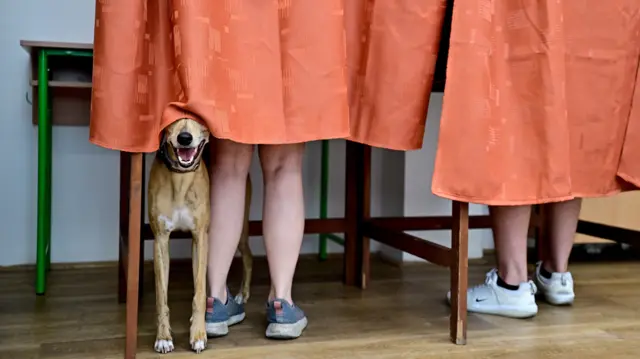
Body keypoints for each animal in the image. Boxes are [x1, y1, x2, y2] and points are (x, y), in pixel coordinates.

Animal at [149, 119, 254, 354]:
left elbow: (198, 293)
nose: (185, 138)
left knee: (249, 257)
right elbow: (161, 296)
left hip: (240, 230)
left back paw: (242, 294)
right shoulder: (160, 239)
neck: (180, 178)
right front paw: (163, 337)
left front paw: (198, 334)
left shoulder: (200, 238)